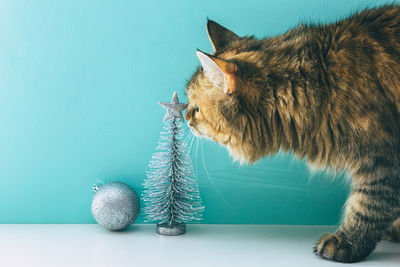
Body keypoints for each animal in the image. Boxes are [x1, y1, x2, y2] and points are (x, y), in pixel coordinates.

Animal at [184, 4, 400, 264]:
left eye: (196, 109)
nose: (183, 115)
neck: (323, 85)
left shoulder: (383, 156)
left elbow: (368, 205)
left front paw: (347, 243)